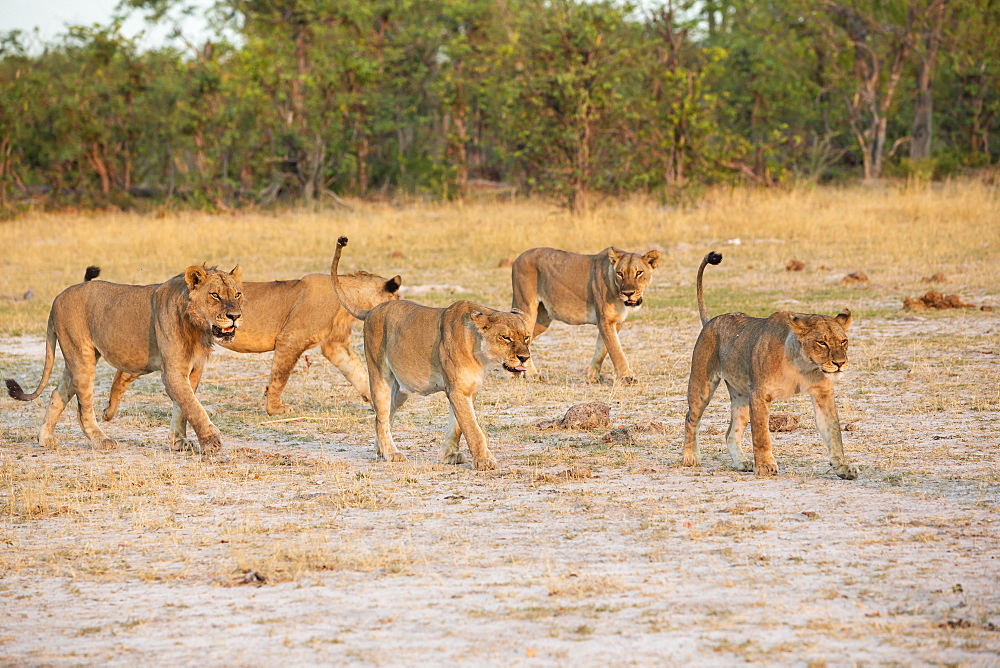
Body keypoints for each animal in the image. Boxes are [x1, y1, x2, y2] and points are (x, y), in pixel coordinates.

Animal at [5, 266, 244, 454]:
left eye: (237, 294)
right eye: (215, 295)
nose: (235, 316)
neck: (196, 327)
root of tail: (57, 298)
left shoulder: (194, 369)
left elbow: (182, 407)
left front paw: (179, 442)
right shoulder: (173, 371)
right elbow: (193, 406)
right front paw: (211, 442)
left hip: (74, 360)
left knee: (57, 394)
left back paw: (45, 439)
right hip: (82, 357)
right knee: (83, 408)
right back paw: (101, 441)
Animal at [99, 258, 400, 418]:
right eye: (398, 298)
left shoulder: (334, 345)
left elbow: (357, 372)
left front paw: (376, 401)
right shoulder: (291, 339)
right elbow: (280, 376)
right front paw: (275, 409)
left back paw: (109, 411)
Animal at [332, 235, 532, 470]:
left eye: (526, 337)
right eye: (506, 338)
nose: (524, 358)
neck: (481, 354)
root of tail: (372, 310)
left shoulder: (467, 390)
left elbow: (457, 425)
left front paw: (450, 455)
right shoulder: (457, 389)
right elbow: (472, 428)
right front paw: (484, 460)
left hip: (400, 390)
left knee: (384, 417)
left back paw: (380, 450)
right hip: (379, 376)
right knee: (380, 415)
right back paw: (391, 453)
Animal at [512, 245, 660, 384]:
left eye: (639, 272)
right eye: (620, 273)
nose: (628, 293)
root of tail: (518, 258)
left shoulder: (616, 321)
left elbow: (602, 349)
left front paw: (593, 377)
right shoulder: (605, 320)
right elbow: (616, 351)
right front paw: (627, 378)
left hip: (542, 320)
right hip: (526, 307)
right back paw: (532, 375)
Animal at [680, 252, 860, 480]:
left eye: (843, 341)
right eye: (822, 343)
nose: (840, 363)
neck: (803, 365)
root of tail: (711, 321)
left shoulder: (822, 394)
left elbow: (833, 432)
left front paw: (843, 467)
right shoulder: (759, 394)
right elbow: (761, 434)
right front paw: (765, 466)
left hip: (741, 396)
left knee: (731, 432)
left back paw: (742, 463)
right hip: (703, 385)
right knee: (690, 418)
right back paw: (690, 458)